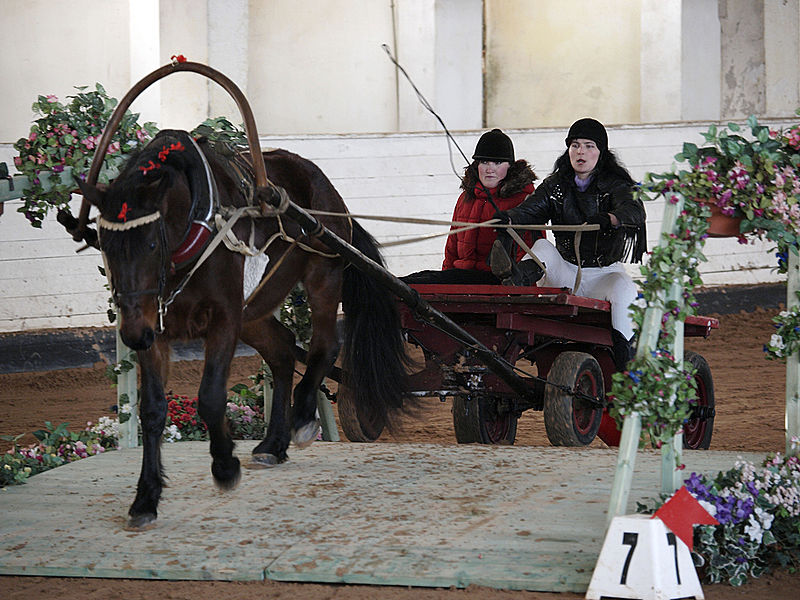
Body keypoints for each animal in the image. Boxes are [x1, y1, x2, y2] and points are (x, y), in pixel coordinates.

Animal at [78, 129, 410, 528]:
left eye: (152, 243)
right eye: (106, 245)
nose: (131, 334)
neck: (196, 224)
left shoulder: (224, 317)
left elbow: (210, 397)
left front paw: (224, 465)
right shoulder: (155, 328)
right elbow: (153, 410)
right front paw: (146, 498)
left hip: (323, 275)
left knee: (326, 345)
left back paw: (301, 418)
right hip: (255, 309)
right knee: (283, 350)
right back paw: (273, 444)